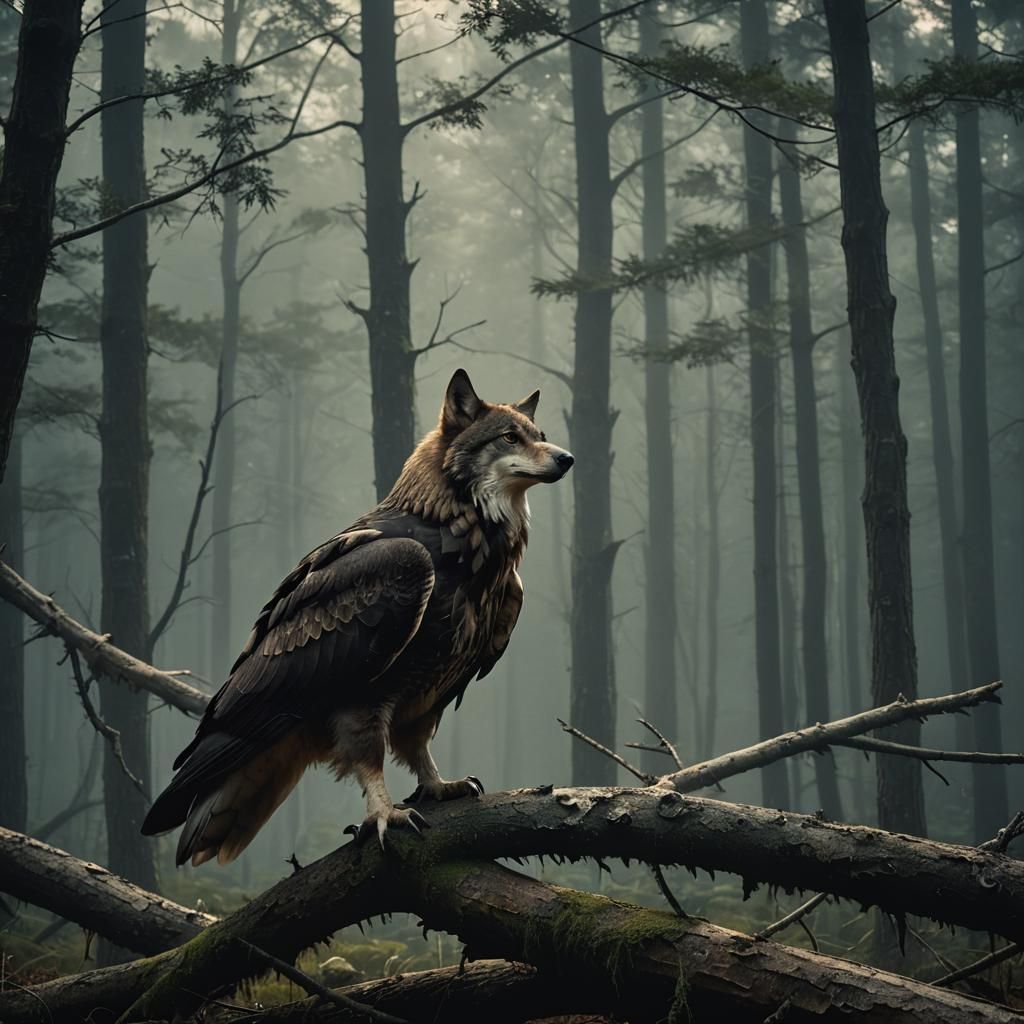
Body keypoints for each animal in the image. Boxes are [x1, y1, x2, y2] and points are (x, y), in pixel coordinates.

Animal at [142, 369, 573, 864]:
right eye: (509, 437)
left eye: (540, 434)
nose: (565, 458)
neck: (453, 529)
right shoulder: (364, 700)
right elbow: (368, 756)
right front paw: (383, 811)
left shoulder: (430, 693)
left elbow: (417, 745)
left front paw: (436, 784)